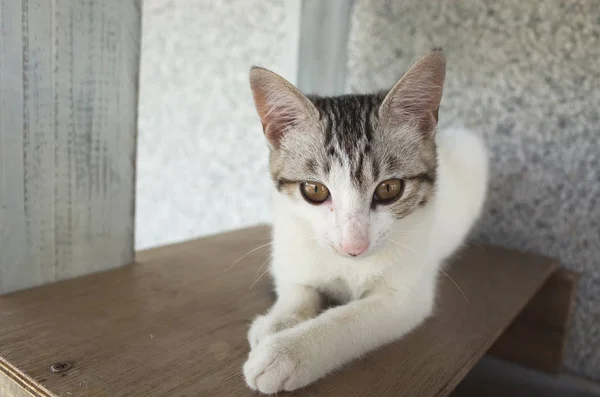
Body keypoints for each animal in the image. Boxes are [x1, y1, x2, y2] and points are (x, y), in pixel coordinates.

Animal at [243, 50, 488, 392]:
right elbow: (297, 288)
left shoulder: (405, 298)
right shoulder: (289, 244)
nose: (353, 246)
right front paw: (277, 322)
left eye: (389, 189)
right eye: (314, 190)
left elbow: (347, 320)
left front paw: (285, 352)